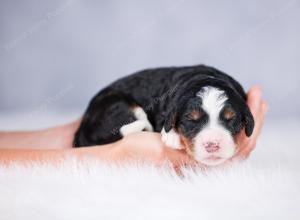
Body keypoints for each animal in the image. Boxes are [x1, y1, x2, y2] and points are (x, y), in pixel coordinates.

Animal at [73, 64, 253, 166]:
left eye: (231, 119)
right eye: (191, 120)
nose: (212, 144)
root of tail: (83, 128)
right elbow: (166, 121)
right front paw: (171, 136)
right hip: (115, 106)